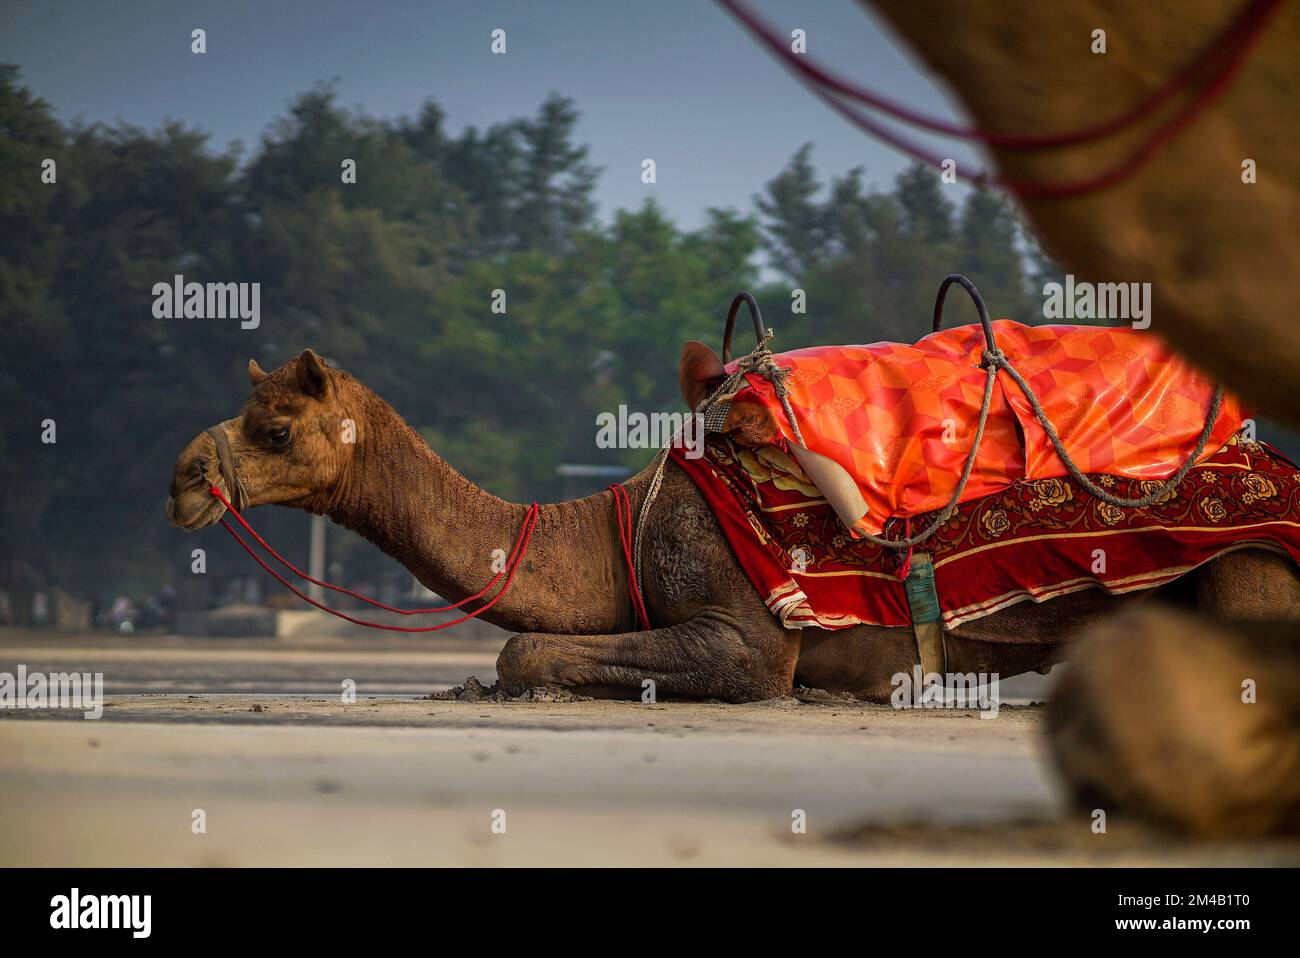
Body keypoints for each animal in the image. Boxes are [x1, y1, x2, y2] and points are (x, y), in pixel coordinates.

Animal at [166, 348, 1300, 707]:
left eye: (274, 427)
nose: (184, 478)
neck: (613, 524)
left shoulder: (748, 636)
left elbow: (526, 649)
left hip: (1249, 568)